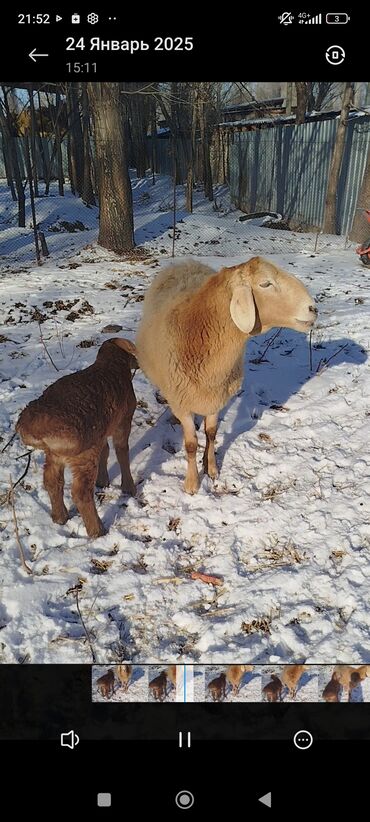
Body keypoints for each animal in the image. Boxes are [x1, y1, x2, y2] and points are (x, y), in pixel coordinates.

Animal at [15, 340, 137, 540]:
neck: (111, 365)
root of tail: (35, 425)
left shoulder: (100, 434)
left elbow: (105, 451)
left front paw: (103, 481)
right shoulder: (123, 420)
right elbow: (121, 451)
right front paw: (128, 487)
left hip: (55, 454)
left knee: (52, 481)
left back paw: (60, 517)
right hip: (82, 455)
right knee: (81, 493)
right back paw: (97, 531)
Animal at [137, 256, 316, 496]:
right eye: (265, 284)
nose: (313, 308)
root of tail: (186, 262)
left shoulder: (216, 397)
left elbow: (211, 433)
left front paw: (211, 468)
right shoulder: (182, 402)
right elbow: (190, 444)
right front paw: (192, 483)